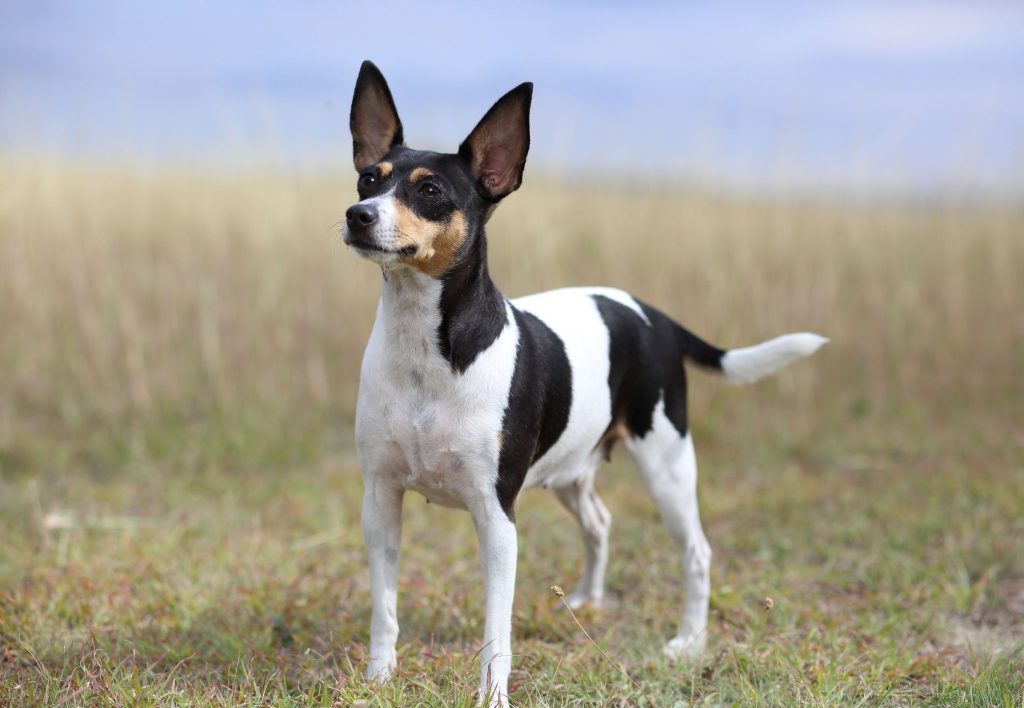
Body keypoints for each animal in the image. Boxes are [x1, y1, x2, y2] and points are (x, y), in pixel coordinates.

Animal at [339, 62, 827, 708]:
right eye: (368, 178)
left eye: (431, 191)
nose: (358, 214)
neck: (426, 350)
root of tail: (655, 315)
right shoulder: (380, 500)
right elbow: (385, 608)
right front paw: (379, 678)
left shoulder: (497, 516)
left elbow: (497, 630)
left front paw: (493, 696)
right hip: (573, 467)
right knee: (600, 523)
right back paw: (591, 600)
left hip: (667, 465)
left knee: (696, 552)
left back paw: (688, 642)